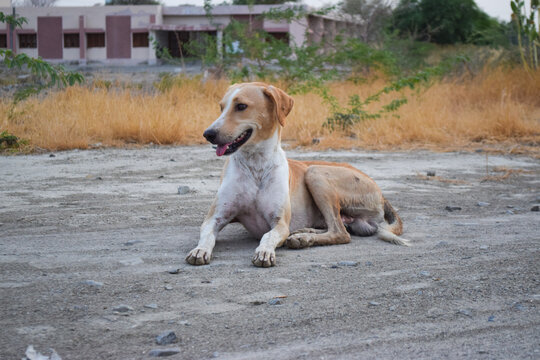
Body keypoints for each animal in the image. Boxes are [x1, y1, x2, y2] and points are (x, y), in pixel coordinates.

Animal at [187, 82, 410, 268]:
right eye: (221, 107)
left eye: (241, 106)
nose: (208, 134)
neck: (256, 166)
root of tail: (381, 194)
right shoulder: (215, 217)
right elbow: (207, 235)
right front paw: (199, 250)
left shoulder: (279, 223)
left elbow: (267, 236)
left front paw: (265, 252)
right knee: (339, 228)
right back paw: (304, 233)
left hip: (315, 173)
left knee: (341, 233)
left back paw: (303, 238)